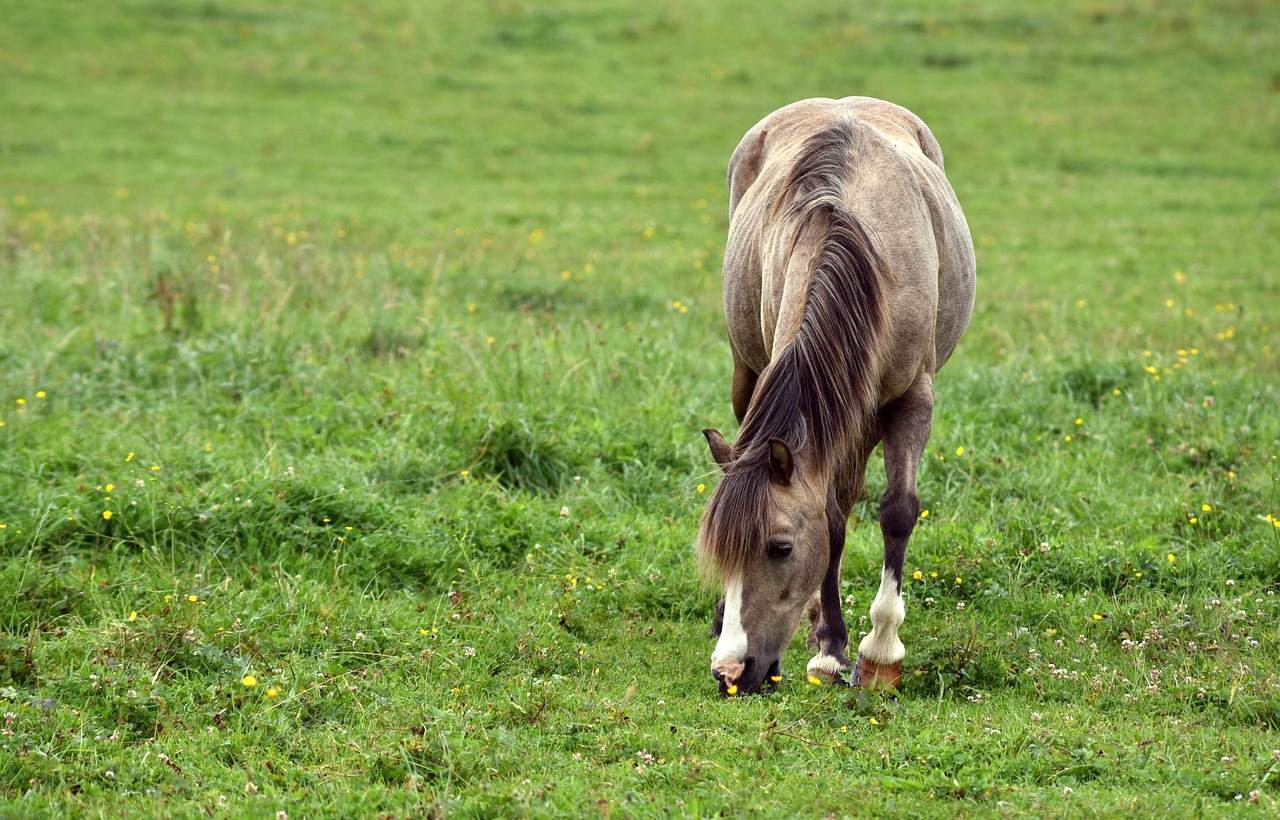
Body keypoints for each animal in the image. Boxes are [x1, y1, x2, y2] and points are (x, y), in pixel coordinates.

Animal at [696, 97, 972, 695]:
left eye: (780, 547)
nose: (730, 673)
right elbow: (832, 521)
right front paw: (830, 646)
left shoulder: (909, 401)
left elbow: (897, 511)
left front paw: (880, 650)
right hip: (751, 375)